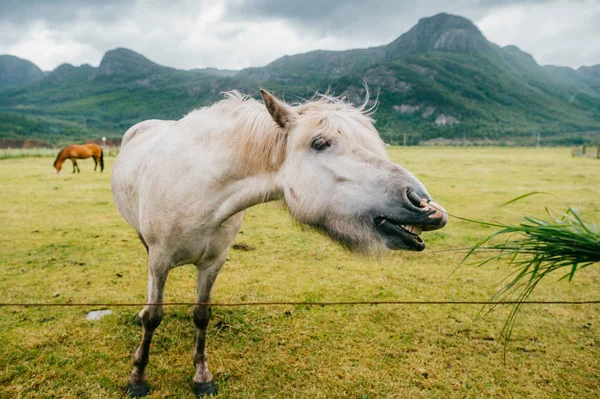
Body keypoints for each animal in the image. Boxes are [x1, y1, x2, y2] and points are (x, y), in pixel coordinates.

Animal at [110, 89, 448, 398]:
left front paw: (202, 378)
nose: (423, 203)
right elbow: (154, 318)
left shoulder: (214, 262)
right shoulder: (159, 260)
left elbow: (201, 317)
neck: (199, 189)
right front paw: (137, 378)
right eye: (320, 143)